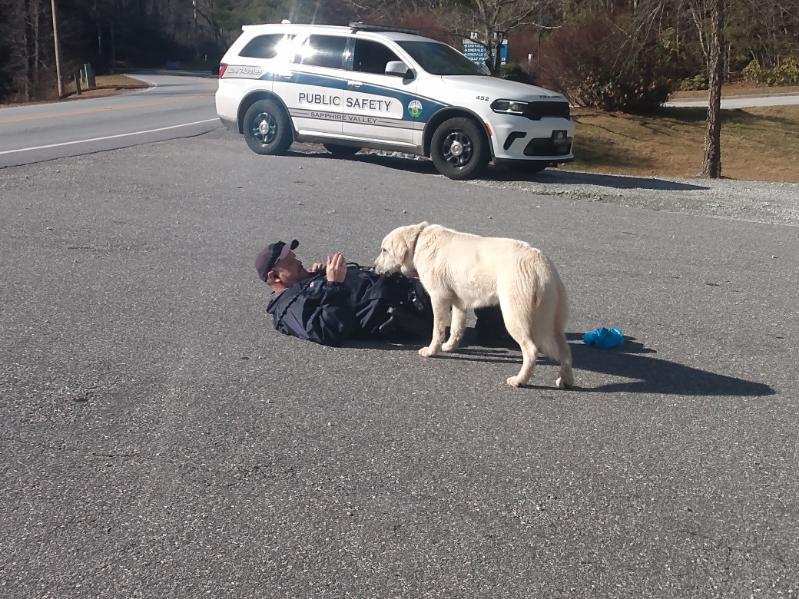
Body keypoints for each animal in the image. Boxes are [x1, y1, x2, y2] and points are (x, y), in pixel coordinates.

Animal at [376, 224, 576, 390]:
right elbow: (456, 329)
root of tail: (542, 265)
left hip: (515, 317)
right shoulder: (459, 303)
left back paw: (520, 380)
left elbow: (437, 330)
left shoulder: (439, 299)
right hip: (552, 322)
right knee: (565, 351)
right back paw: (565, 380)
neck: (419, 242)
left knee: (531, 351)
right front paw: (449, 346)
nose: (374, 268)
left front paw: (432, 351)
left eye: (384, 250)